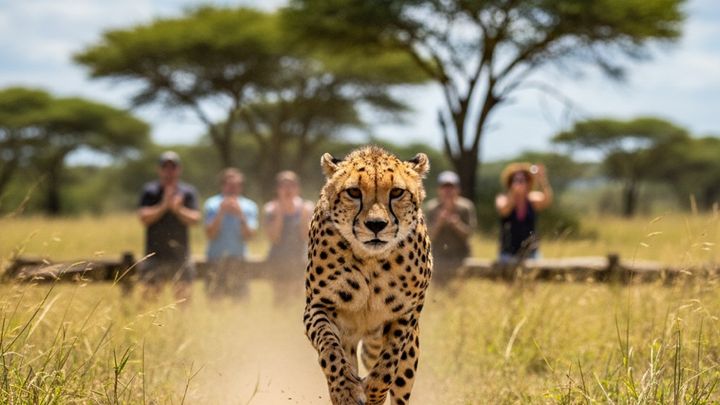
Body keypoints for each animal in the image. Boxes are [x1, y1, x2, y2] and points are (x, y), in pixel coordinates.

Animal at [304, 146, 432, 405]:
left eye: (397, 192)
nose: (376, 224)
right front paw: (345, 390)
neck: (371, 260)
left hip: (408, 353)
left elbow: (388, 362)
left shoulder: (406, 314)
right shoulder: (318, 306)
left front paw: (373, 392)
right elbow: (330, 349)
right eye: (353, 192)